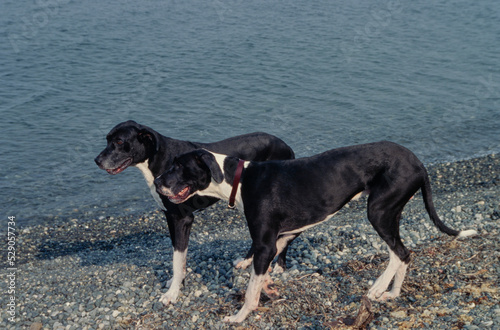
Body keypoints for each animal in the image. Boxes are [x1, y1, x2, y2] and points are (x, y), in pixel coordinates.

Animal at [95, 121, 294, 306]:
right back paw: (246, 261)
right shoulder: (170, 218)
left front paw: (172, 294)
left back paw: (280, 265)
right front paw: (177, 283)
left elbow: (177, 260)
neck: (159, 158)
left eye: (119, 141)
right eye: (107, 139)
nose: (97, 160)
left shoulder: (182, 219)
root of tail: (286, 145)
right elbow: (178, 256)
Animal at [154, 142, 478, 322]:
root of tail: (419, 163)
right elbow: (265, 272)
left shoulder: (264, 243)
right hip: (390, 211)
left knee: (399, 253)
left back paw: (376, 288)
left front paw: (239, 316)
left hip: (378, 212)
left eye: (179, 166)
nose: (157, 182)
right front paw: (269, 286)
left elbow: (250, 289)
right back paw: (392, 292)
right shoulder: (282, 236)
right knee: (405, 253)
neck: (239, 179)